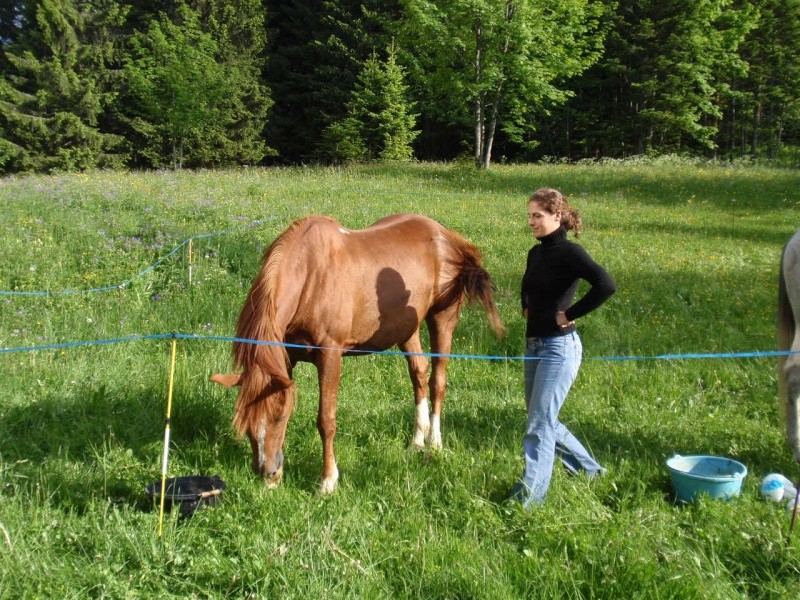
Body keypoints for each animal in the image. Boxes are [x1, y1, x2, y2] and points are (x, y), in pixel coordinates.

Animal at [209, 214, 504, 492]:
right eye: (245, 420)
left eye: (278, 416)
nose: (268, 473)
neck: (311, 276)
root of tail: (447, 235)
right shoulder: (285, 359)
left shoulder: (330, 356)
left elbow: (326, 420)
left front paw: (328, 481)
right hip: (406, 329)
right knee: (419, 373)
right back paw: (417, 441)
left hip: (443, 319)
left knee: (437, 382)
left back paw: (434, 442)